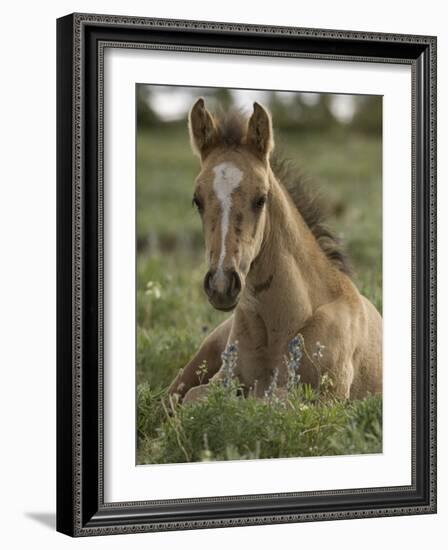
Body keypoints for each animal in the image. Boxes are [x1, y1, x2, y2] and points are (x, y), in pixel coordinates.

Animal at [168, 98, 382, 402]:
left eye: (261, 198)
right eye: (197, 200)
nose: (221, 285)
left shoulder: (327, 398)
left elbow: (270, 400)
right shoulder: (222, 380)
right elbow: (193, 399)